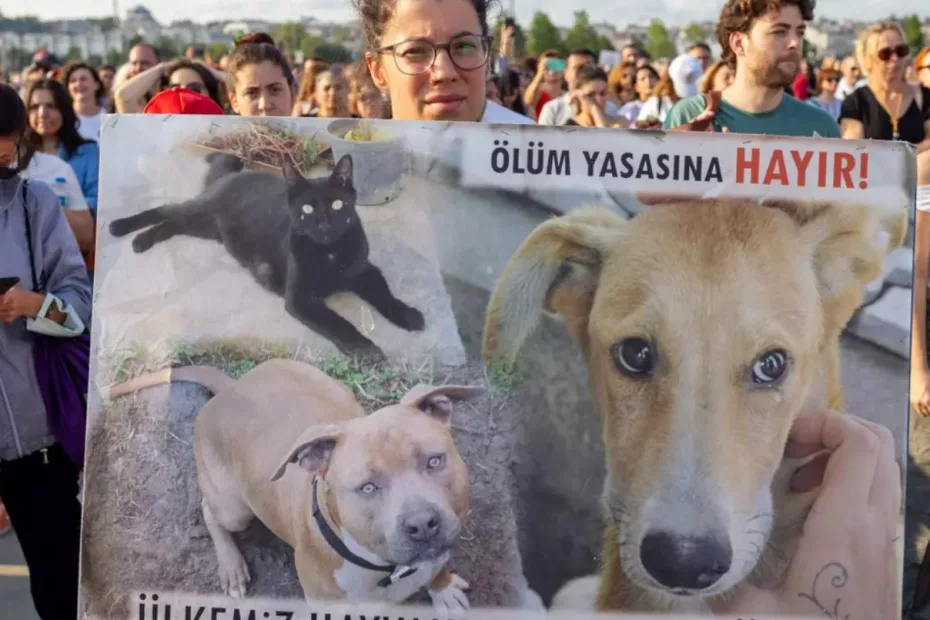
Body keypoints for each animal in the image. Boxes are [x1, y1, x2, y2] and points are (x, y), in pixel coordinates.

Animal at [103, 358, 478, 612]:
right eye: (367, 487)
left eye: (434, 461)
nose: (423, 524)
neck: (386, 568)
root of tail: (231, 388)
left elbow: (438, 566)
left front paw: (443, 588)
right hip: (234, 507)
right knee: (210, 511)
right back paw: (231, 566)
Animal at [109, 153, 424, 360]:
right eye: (307, 209)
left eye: (337, 204)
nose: (324, 224)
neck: (330, 253)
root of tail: (233, 175)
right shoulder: (300, 299)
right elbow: (338, 323)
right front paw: (366, 349)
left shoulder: (365, 271)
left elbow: (385, 295)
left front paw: (409, 314)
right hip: (198, 213)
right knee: (163, 210)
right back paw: (124, 230)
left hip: (205, 227)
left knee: (170, 223)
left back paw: (142, 239)